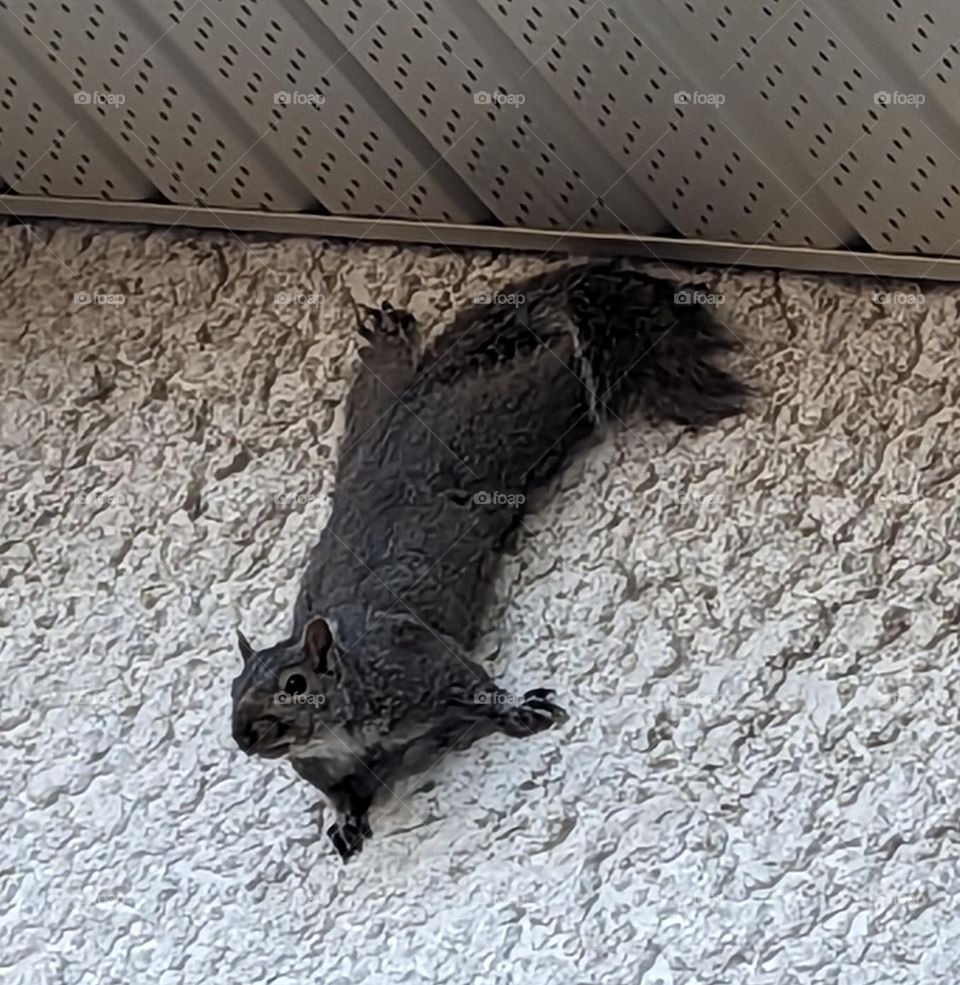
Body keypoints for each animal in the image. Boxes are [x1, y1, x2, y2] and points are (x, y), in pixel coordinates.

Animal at [230, 261, 748, 861]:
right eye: (232, 689)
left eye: (294, 684)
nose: (243, 735)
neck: (341, 726)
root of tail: (396, 437)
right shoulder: (325, 767)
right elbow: (343, 794)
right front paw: (344, 820)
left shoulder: (416, 659)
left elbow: (473, 684)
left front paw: (515, 707)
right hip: (372, 430)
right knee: (375, 391)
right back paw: (387, 344)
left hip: (496, 423)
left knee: (544, 373)